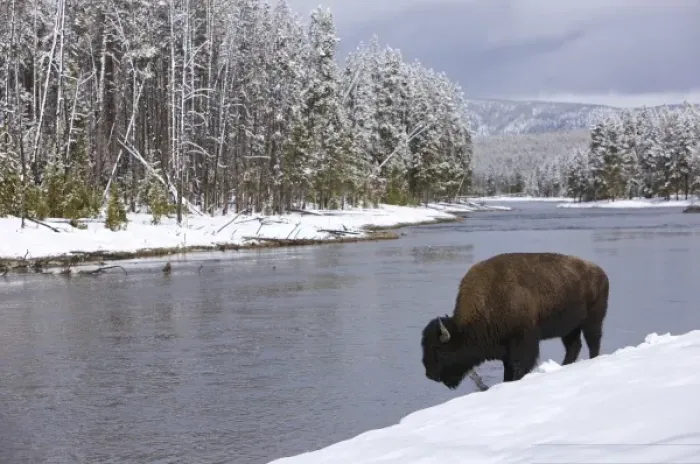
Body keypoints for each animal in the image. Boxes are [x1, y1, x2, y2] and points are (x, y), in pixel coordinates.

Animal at [421, 252, 609, 389]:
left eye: (440, 351)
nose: (430, 374)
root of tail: (600, 272)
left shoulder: (523, 342)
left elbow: (519, 366)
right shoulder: (506, 349)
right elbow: (508, 370)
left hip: (592, 322)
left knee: (593, 342)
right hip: (570, 329)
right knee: (574, 346)